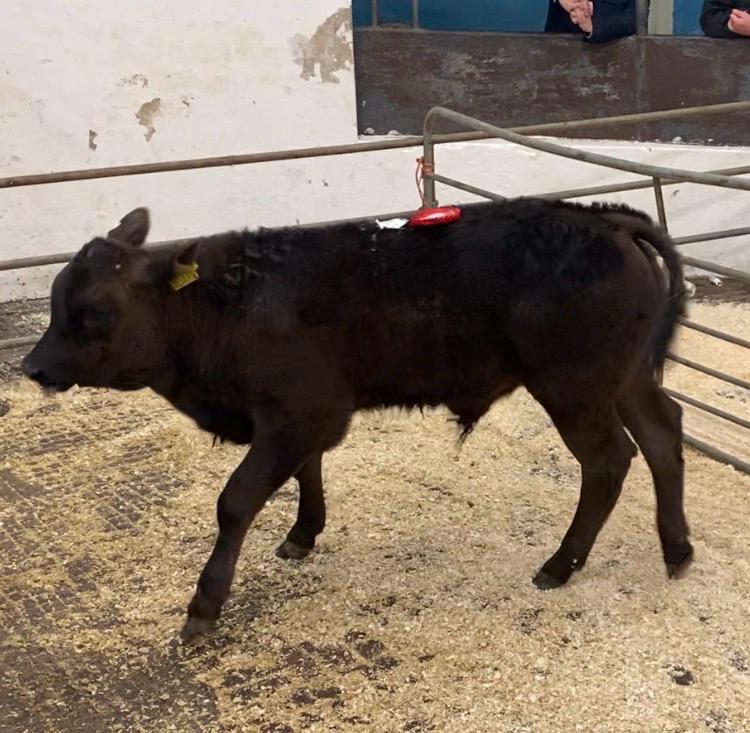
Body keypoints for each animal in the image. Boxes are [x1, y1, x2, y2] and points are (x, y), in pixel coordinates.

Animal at [22, 199, 693, 640]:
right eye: (57, 302)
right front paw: (303, 533)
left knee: (609, 461)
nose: (31, 365)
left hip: (573, 388)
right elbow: (306, 472)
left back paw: (560, 565)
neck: (228, 303)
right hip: (624, 377)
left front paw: (204, 606)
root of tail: (603, 216)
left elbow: (236, 502)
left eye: (95, 314)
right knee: (664, 434)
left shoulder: (297, 413)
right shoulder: (303, 415)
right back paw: (676, 548)